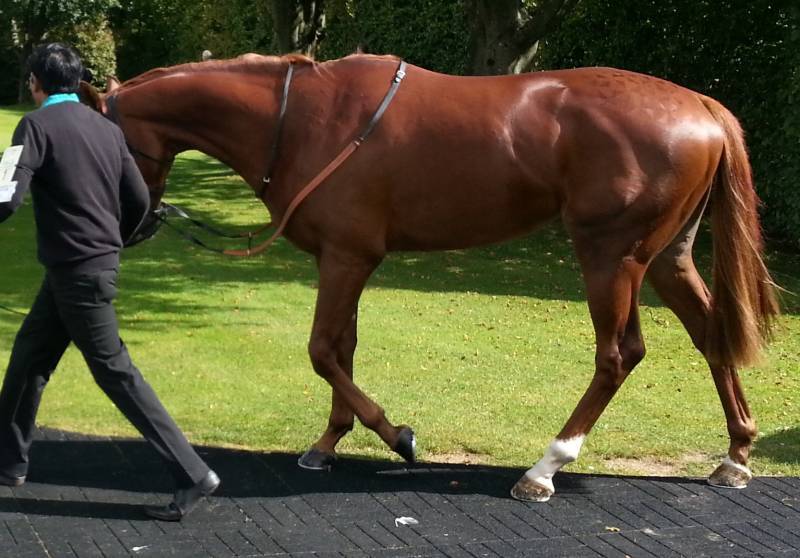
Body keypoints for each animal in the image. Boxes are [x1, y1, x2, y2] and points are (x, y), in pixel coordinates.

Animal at [80, 52, 778, 502]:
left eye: (110, 142)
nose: (131, 227)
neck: (302, 117)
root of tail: (701, 105)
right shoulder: (346, 258)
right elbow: (343, 349)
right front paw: (328, 443)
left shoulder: (347, 257)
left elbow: (322, 350)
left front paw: (398, 436)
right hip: (666, 257)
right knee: (710, 336)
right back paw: (736, 455)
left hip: (611, 256)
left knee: (618, 354)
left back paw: (545, 468)